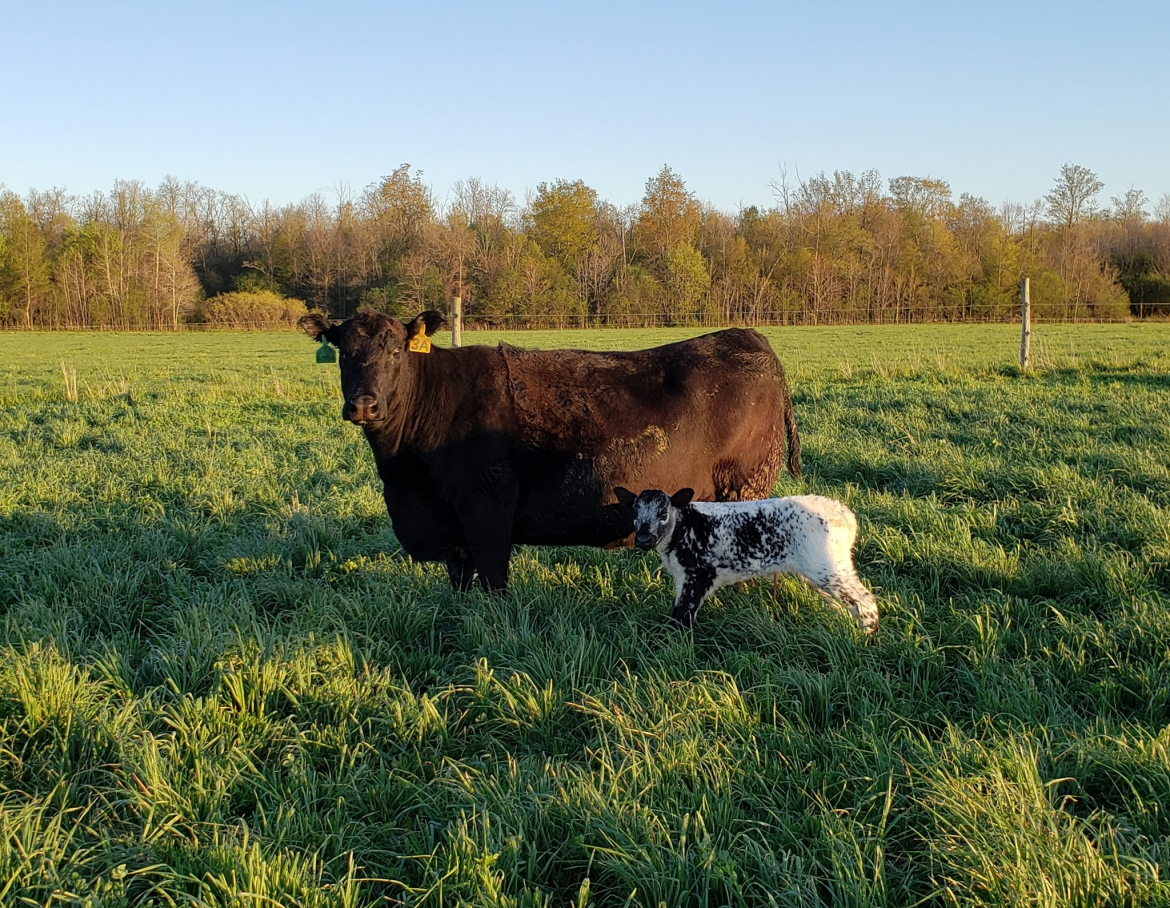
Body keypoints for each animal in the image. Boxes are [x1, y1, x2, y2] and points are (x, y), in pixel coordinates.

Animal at [297, 311, 800, 596]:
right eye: (343, 352)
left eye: (397, 352)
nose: (364, 404)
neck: (404, 478)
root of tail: (748, 337)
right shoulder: (452, 527)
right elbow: (460, 584)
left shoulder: (486, 504)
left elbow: (493, 580)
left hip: (745, 486)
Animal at [613, 489, 879, 631]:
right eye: (634, 513)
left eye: (663, 513)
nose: (643, 539)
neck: (682, 527)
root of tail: (845, 514)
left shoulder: (698, 575)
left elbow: (681, 615)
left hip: (827, 566)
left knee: (863, 599)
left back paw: (865, 638)